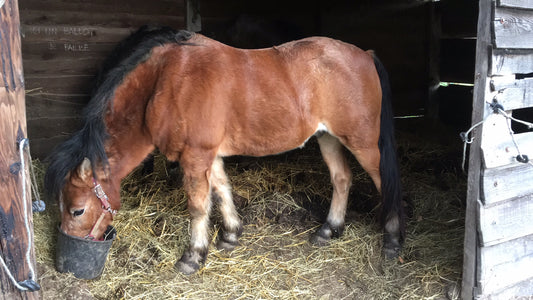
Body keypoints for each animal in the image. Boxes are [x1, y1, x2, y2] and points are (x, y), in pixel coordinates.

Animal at [45, 25, 404, 274]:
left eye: (77, 210)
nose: (68, 256)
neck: (166, 83)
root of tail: (365, 54)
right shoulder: (208, 155)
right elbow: (222, 191)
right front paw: (230, 235)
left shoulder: (195, 157)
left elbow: (198, 206)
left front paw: (193, 257)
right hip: (328, 138)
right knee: (342, 179)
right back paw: (329, 230)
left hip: (363, 142)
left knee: (385, 183)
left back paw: (392, 241)